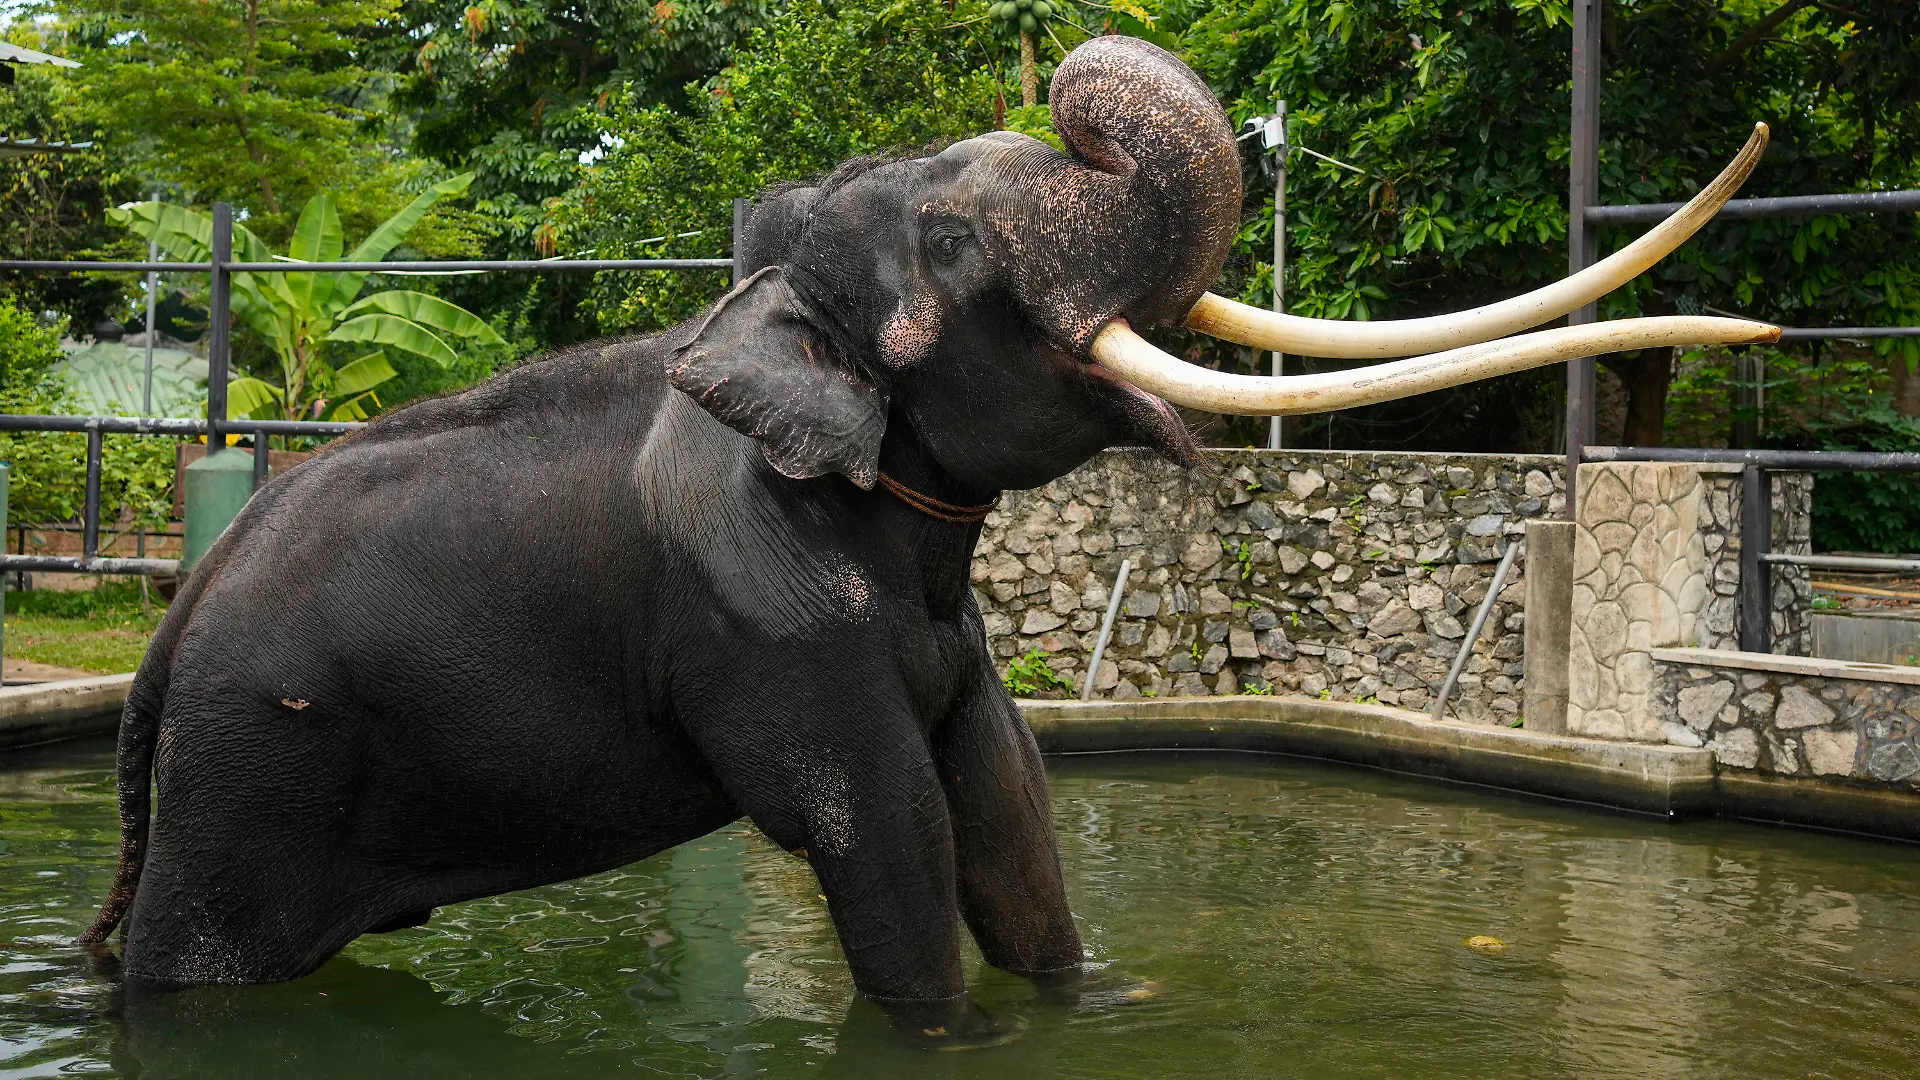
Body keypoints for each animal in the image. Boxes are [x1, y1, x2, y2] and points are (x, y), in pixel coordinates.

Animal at [79, 33, 1777, 1030]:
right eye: (958, 246)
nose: (1063, 90)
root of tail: (166, 636)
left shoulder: (947, 636)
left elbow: (1010, 806)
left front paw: (1092, 1006)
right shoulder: (764, 626)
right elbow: (889, 832)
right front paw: (951, 1030)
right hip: (254, 770)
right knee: (202, 961)